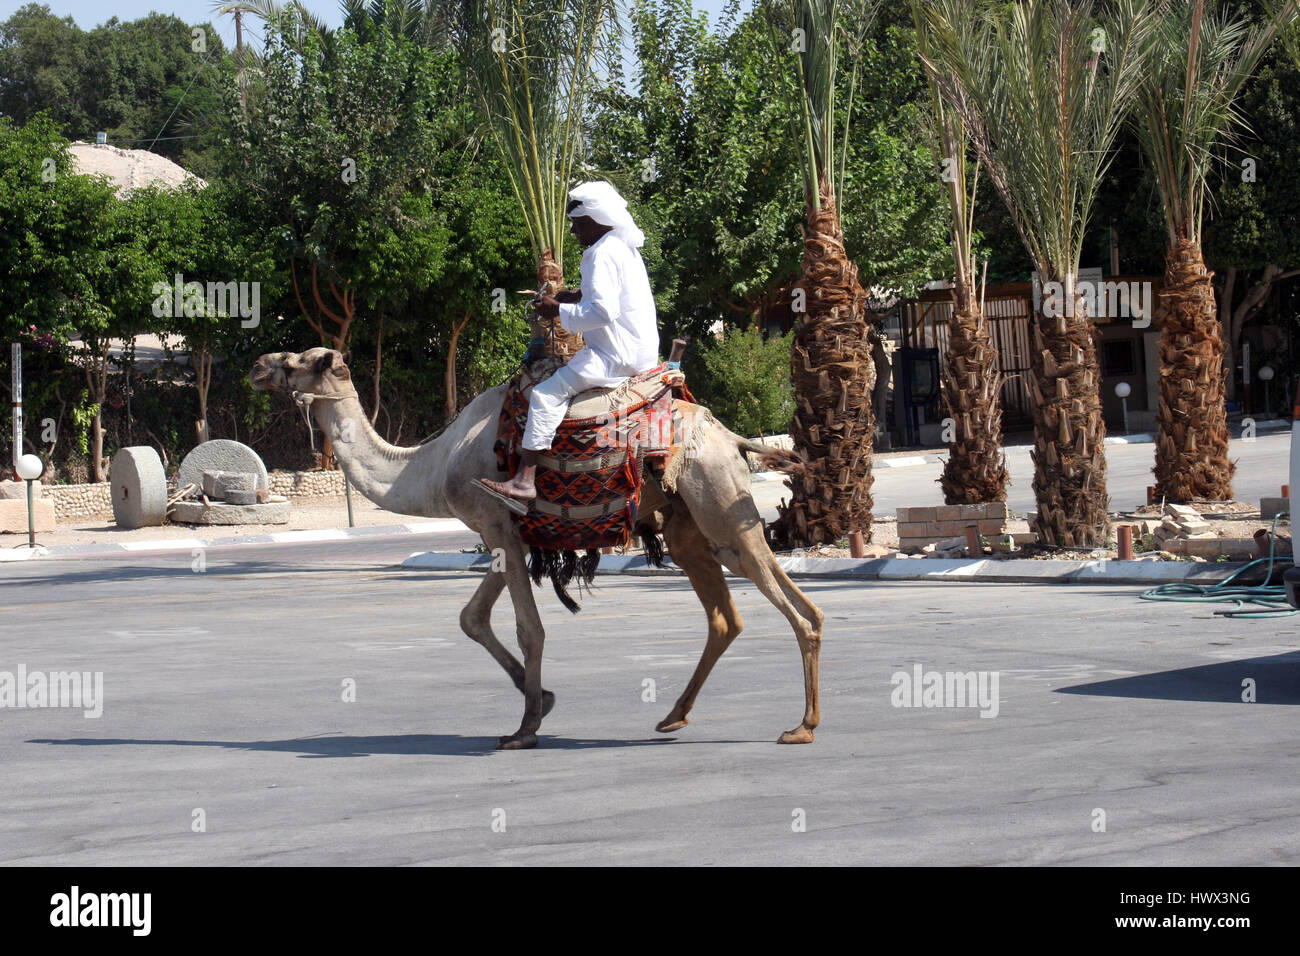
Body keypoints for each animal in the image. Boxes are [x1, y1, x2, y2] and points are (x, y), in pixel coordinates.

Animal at [248, 348, 826, 749]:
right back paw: (674, 715)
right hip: (692, 522)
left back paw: (802, 725)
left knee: (792, 606)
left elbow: (530, 629)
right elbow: (472, 618)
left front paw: (525, 726)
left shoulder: (497, 526)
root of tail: (730, 436)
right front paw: (542, 700)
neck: (432, 466)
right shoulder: (505, 534)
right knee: (729, 612)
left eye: (297, 361)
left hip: (718, 501)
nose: (257, 365)